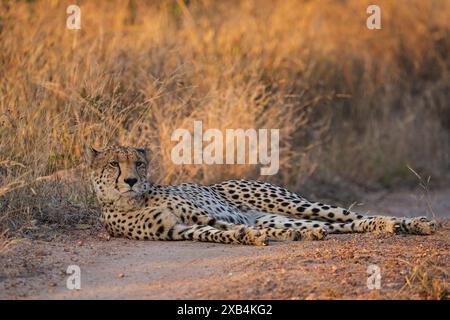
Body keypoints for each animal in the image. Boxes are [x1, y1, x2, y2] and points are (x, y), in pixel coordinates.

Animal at [83, 146, 436, 246]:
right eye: (114, 163)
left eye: (138, 163)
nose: (131, 180)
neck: (131, 201)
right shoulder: (178, 229)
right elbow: (216, 234)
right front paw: (246, 237)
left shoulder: (203, 215)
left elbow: (221, 227)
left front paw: (248, 235)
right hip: (282, 215)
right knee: (333, 226)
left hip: (288, 202)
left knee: (352, 215)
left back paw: (413, 223)